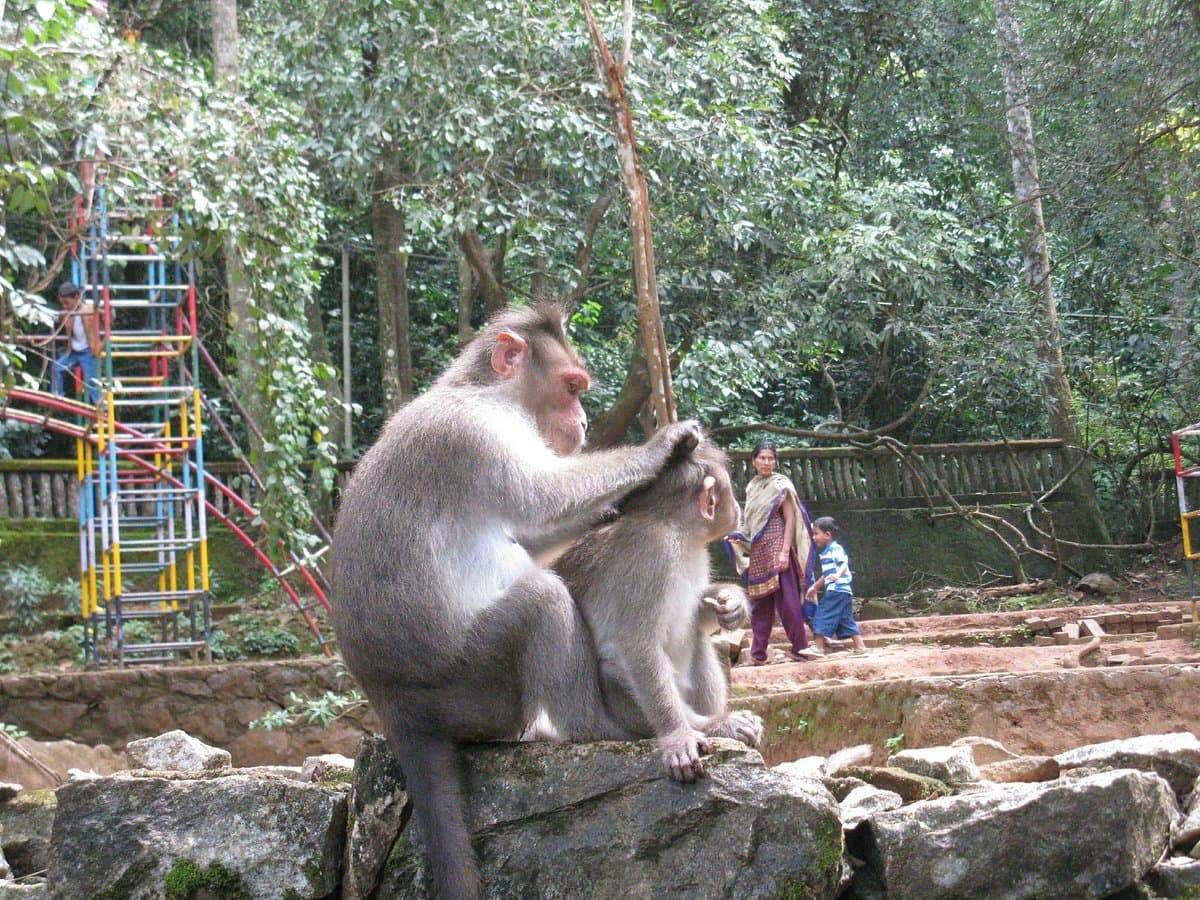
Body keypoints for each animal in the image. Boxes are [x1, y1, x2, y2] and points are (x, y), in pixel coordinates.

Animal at [331, 304, 700, 900]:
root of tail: (394, 705)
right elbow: (540, 503)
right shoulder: (476, 435)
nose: (583, 423)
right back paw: (604, 727)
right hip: (470, 685)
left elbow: (534, 532)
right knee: (541, 600)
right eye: (571, 388)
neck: (480, 391)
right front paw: (660, 447)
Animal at [556, 441, 763, 787]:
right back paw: (712, 725)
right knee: (616, 669)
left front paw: (733, 604)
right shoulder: (652, 553)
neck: (678, 531)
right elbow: (637, 644)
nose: (737, 507)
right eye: (729, 490)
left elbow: (698, 610)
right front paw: (678, 736)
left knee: (697, 640)